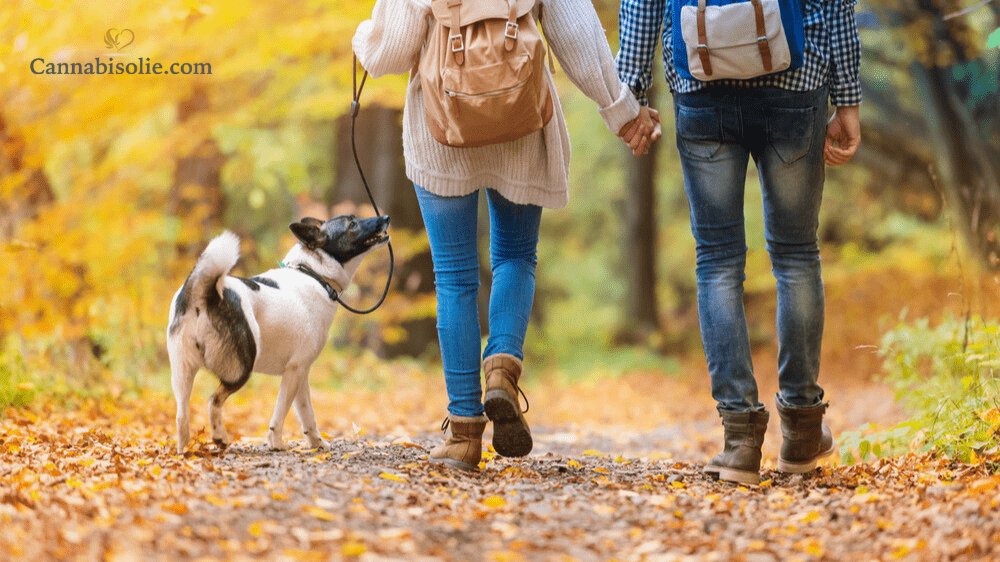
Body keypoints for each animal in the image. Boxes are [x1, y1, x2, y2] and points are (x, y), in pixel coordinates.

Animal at [166, 212, 388, 452]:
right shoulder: (294, 371)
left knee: (181, 416)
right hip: (241, 369)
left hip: (182, 374)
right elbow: (280, 413)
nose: (385, 217)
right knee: (213, 400)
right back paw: (220, 437)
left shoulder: (301, 374)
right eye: (352, 225)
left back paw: (185, 452)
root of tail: (204, 293)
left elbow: (307, 415)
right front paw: (277, 444)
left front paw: (317, 443)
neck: (314, 274)